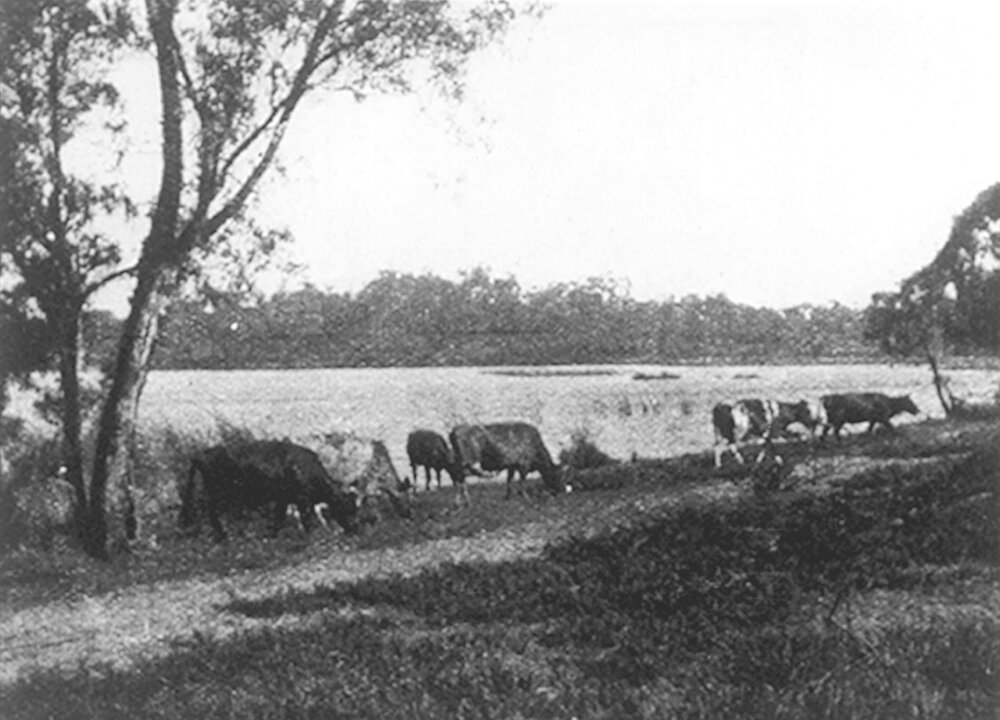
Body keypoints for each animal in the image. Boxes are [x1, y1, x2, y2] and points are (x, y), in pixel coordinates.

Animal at [179, 440, 361, 541]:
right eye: (345, 508)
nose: (354, 529)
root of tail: (203, 453)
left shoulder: (283, 499)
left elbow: (278, 518)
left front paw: (273, 535)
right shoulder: (302, 500)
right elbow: (305, 519)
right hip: (218, 493)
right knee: (212, 511)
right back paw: (223, 534)